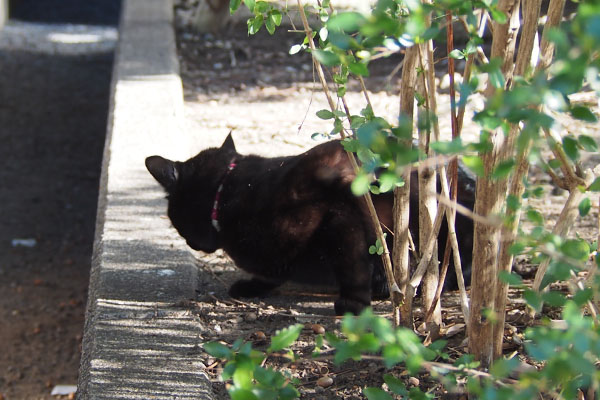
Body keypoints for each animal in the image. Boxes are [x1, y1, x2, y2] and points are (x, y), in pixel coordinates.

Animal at [145, 134, 474, 316]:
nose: (191, 244)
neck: (227, 192)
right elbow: (272, 269)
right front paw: (253, 284)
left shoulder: (341, 210)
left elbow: (351, 264)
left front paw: (353, 304)